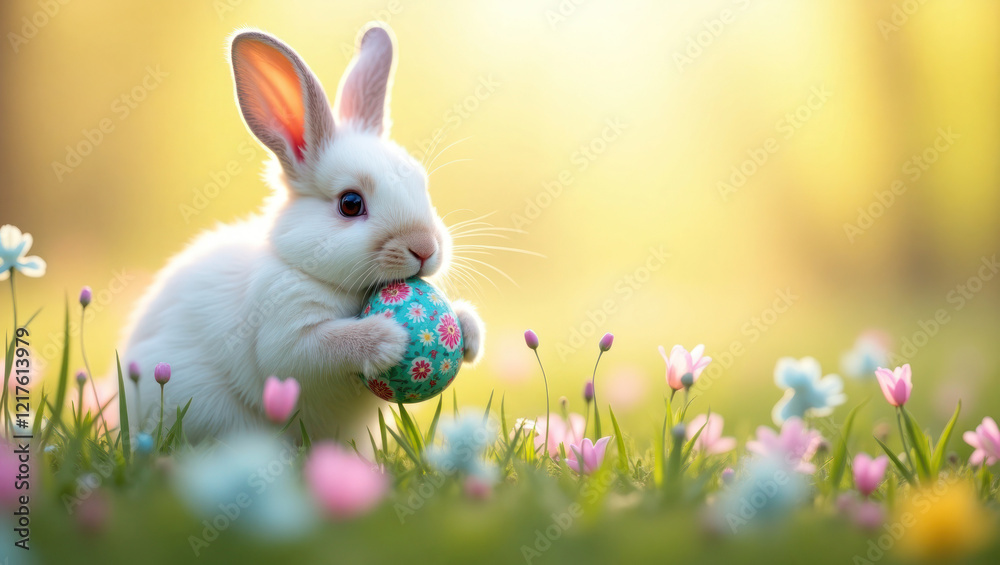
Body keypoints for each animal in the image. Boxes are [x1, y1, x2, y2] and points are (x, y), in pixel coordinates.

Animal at [120, 22, 484, 445]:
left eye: (421, 185)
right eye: (350, 203)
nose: (424, 248)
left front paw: (470, 330)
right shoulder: (286, 337)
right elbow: (323, 347)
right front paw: (388, 337)